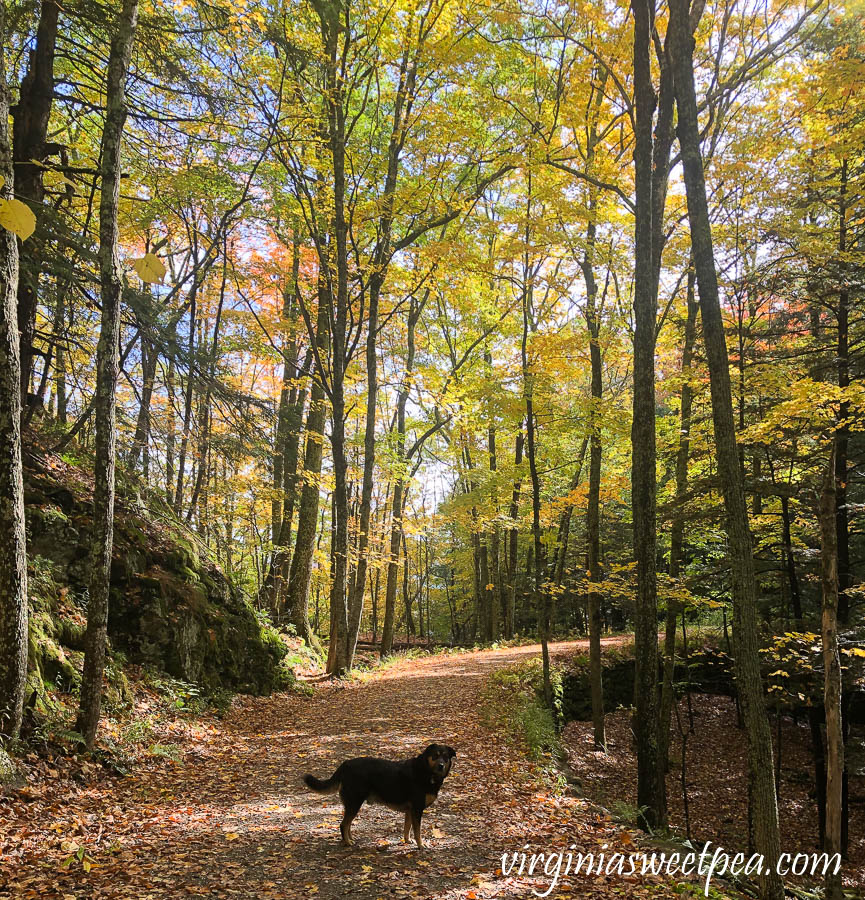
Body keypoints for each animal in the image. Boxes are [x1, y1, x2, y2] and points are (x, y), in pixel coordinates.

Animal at [302, 740, 456, 848]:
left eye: (445, 757)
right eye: (435, 756)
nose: (441, 765)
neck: (426, 771)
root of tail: (345, 765)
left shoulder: (410, 810)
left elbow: (407, 828)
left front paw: (407, 841)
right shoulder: (417, 809)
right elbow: (417, 830)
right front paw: (421, 845)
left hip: (352, 804)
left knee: (348, 824)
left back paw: (350, 839)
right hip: (354, 802)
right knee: (343, 824)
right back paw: (347, 842)